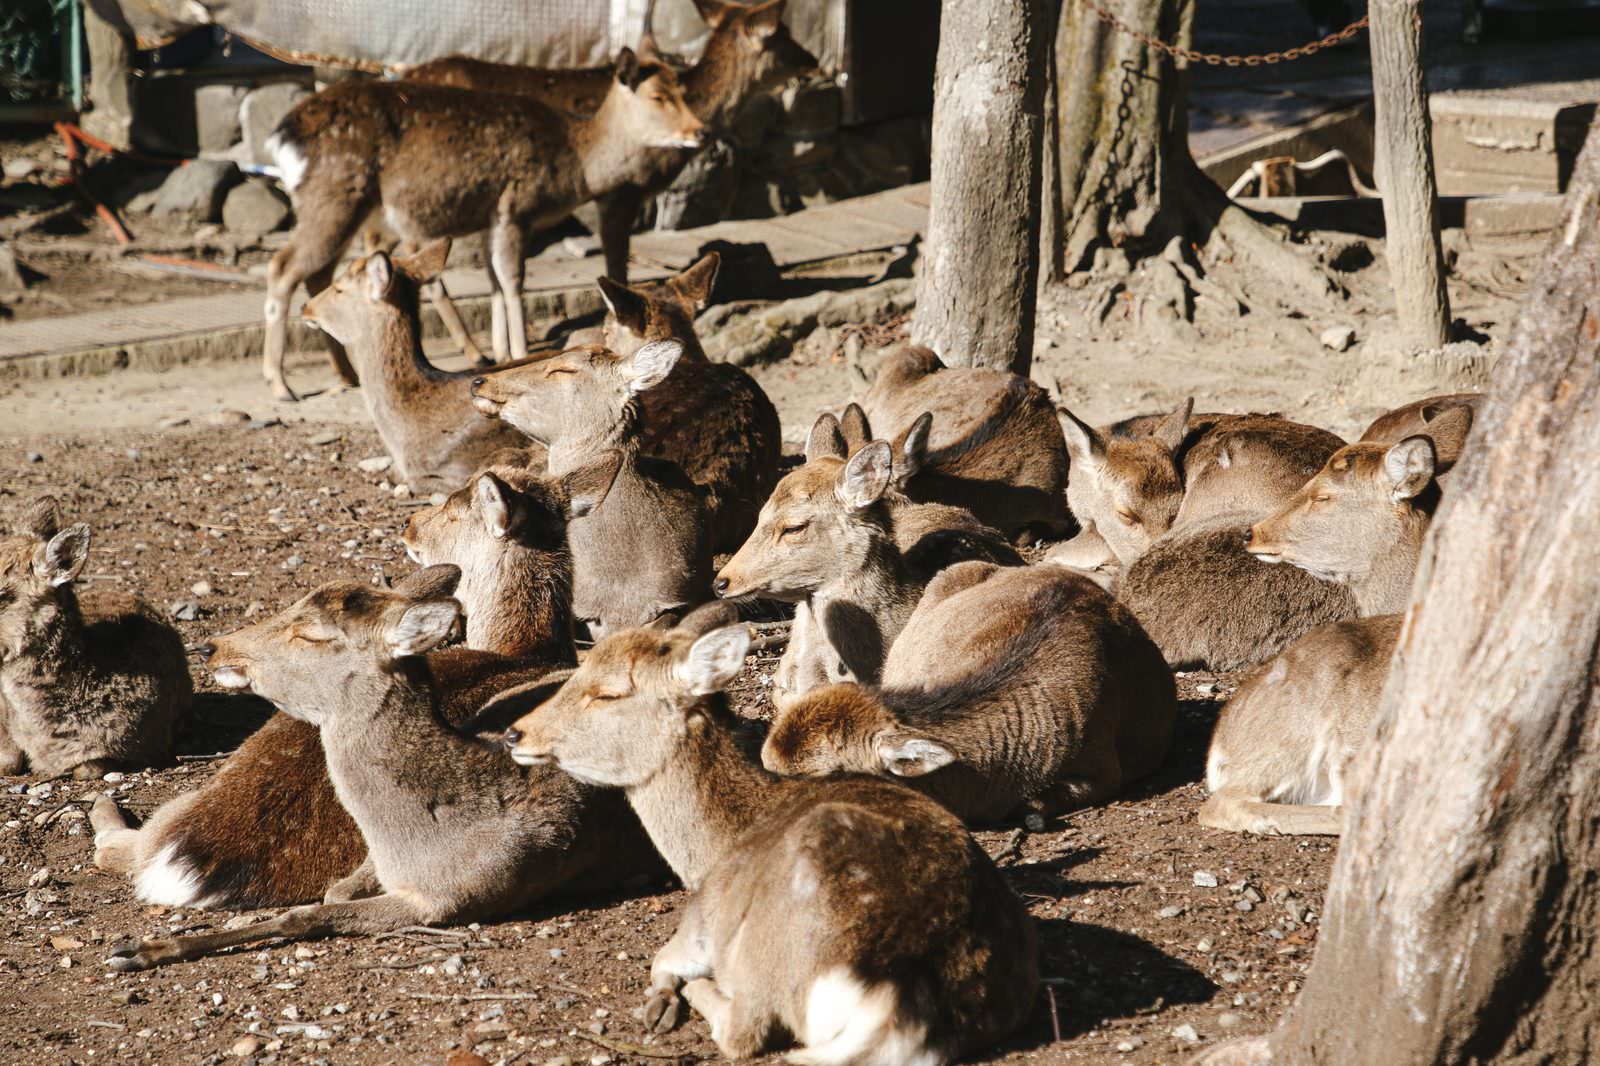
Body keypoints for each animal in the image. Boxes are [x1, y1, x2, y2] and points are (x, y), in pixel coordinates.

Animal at [89, 459, 649, 912]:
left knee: (118, 851)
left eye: (453, 505)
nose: (409, 523)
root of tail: (191, 858)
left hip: (189, 800)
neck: (525, 647)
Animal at [99, 565, 660, 971]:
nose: (213, 646)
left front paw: (138, 951)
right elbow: (332, 891)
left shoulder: (454, 896)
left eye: (310, 633)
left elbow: (304, 916)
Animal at [260, 47, 703, 401]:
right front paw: (520, 352)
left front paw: (502, 351)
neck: (574, 166)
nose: (699, 132)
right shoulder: (514, 205)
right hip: (333, 197)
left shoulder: (492, 217)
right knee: (282, 267)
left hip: (339, 207)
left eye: (683, 91)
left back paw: (347, 374)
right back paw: (280, 385)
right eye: (659, 96)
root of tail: (281, 138)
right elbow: (513, 278)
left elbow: (493, 278)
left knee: (318, 274)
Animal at [501, 604, 1040, 1065]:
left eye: (609, 693)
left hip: (765, 949)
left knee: (745, 1029)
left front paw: (661, 1002)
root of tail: (900, 1001)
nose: (514, 733)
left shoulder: (702, 915)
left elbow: (660, 961)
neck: (709, 852)